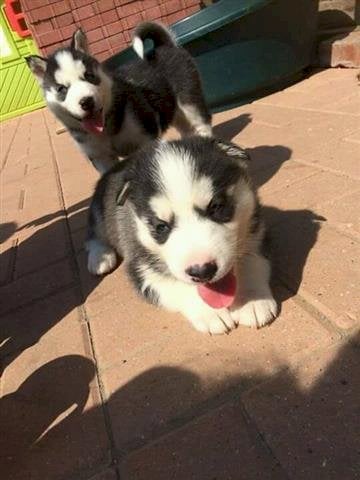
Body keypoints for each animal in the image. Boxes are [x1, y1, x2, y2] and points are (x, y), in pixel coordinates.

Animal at [26, 22, 212, 174]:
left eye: (89, 76)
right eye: (61, 89)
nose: (87, 102)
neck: (106, 129)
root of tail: (164, 47)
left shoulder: (146, 139)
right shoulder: (101, 158)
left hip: (189, 101)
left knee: (202, 122)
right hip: (173, 110)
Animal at [87, 137, 278, 336]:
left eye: (216, 207)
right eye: (161, 227)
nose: (202, 272)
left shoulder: (256, 232)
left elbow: (252, 262)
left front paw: (251, 300)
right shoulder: (140, 266)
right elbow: (176, 286)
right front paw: (210, 312)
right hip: (99, 212)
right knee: (94, 233)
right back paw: (100, 257)